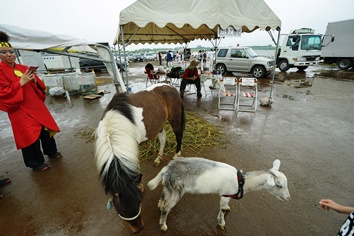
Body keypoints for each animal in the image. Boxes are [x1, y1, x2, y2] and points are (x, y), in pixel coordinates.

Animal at [94, 84, 184, 233]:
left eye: (139, 202)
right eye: (121, 211)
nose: (139, 229)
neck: (112, 128)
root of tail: (170, 86)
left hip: (175, 119)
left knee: (179, 135)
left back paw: (177, 155)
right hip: (159, 124)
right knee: (163, 139)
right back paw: (158, 159)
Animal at [148, 158, 290, 231]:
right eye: (279, 185)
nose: (288, 198)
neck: (243, 182)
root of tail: (168, 168)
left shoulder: (227, 194)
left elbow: (224, 207)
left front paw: (226, 210)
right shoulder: (225, 194)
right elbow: (221, 210)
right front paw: (221, 223)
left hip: (170, 186)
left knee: (163, 197)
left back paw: (160, 205)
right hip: (177, 189)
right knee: (167, 207)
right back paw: (163, 225)